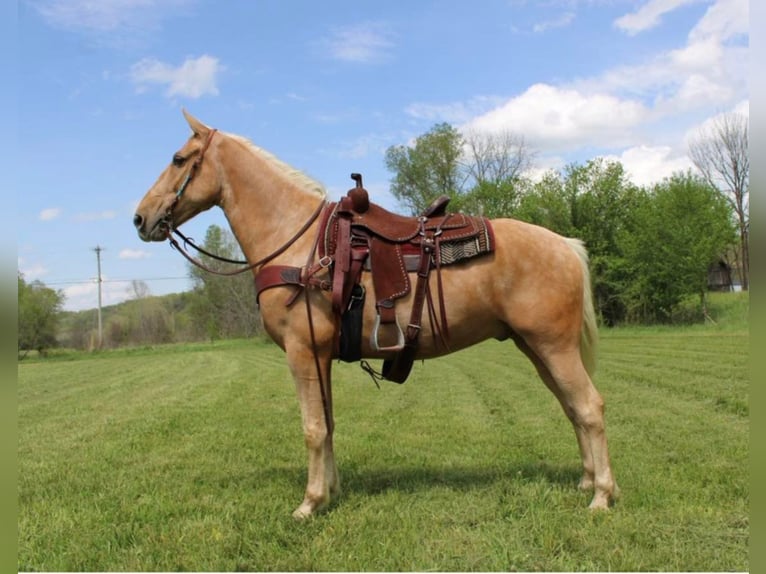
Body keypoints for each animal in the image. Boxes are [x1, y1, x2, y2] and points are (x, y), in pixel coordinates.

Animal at [135, 110, 620, 520]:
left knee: (590, 406)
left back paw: (601, 496)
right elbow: (328, 424)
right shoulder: (320, 356)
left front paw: (309, 504)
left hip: (553, 347)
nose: (140, 218)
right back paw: (588, 482)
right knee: (571, 407)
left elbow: (312, 427)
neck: (297, 243)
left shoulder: (301, 351)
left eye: (179, 159)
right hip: (535, 348)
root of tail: (565, 245)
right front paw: (331, 493)